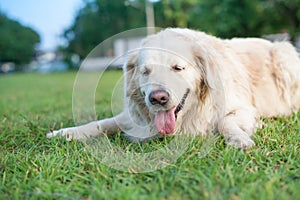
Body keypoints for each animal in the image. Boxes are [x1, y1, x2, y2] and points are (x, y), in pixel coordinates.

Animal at [47, 27, 300, 148]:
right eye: (146, 71)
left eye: (177, 68)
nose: (158, 98)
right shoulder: (133, 118)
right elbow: (101, 124)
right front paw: (65, 133)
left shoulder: (244, 108)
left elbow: (225, 121)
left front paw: (238, 139)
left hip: (284, 55)